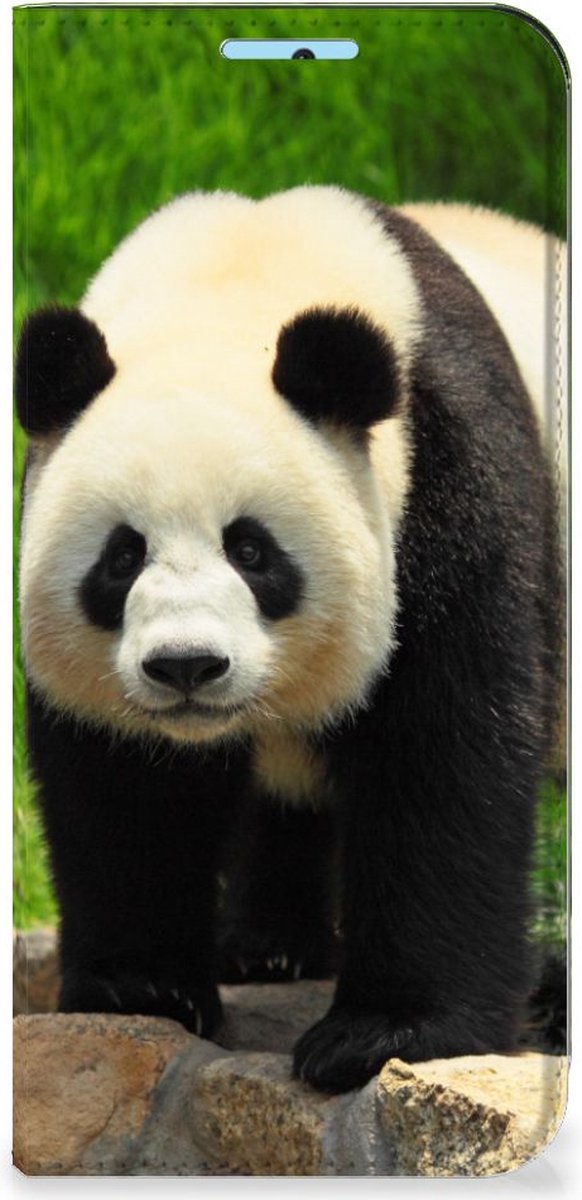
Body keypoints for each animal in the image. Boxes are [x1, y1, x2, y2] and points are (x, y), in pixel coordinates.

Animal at [16, 186, 562, 1094]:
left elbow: (443, 753)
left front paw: (384, 1033)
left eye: (252, 550)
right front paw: (142, 986)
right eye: (122, 557)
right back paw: (270, 947)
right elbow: (125, 785)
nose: (187, 666)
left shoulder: (450, 479)